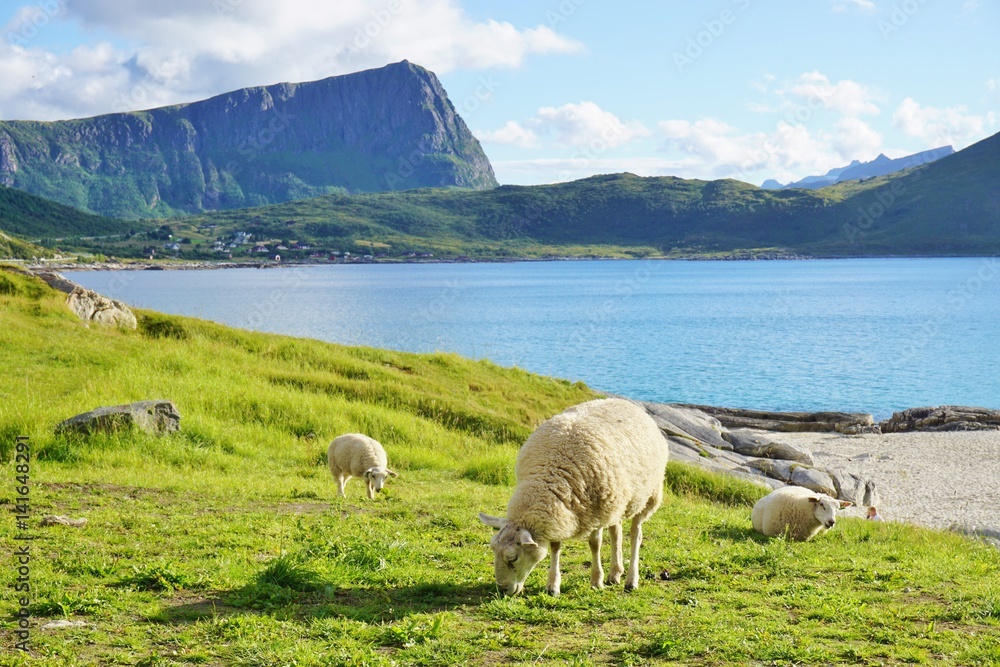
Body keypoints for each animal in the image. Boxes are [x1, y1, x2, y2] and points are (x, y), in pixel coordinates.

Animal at [478, 398, 669, 597]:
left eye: (513, 558)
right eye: (493, 549)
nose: (502, 590)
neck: (551, 477)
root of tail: (624, 401)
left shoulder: (597, 511)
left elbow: (595, 544)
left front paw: (596, 580)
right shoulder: (560, 510)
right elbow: (555, 546)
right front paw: (553, 585)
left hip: (647, 496)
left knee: (635, 535)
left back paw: (631, 580)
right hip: (618, 501)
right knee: (616, 531)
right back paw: (615, 573)